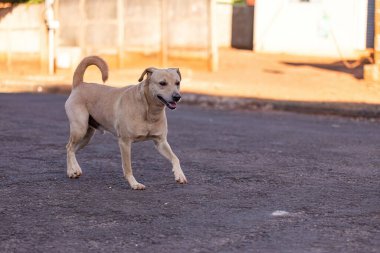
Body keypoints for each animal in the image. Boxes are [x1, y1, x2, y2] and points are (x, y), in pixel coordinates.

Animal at [65, 55, 187, 190]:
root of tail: (80, 84)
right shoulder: (125, 142)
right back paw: (71, 171)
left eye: (177, 83)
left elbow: (175, 158)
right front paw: (134, 183)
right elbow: (128, 167)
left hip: (87, 136)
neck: (148, 110)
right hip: (79, 129)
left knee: (72, 149)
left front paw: (179, 175)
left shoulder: (160, 142)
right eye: (162, 83)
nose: (177, 97)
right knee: (69, 147)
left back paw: (75, 169)